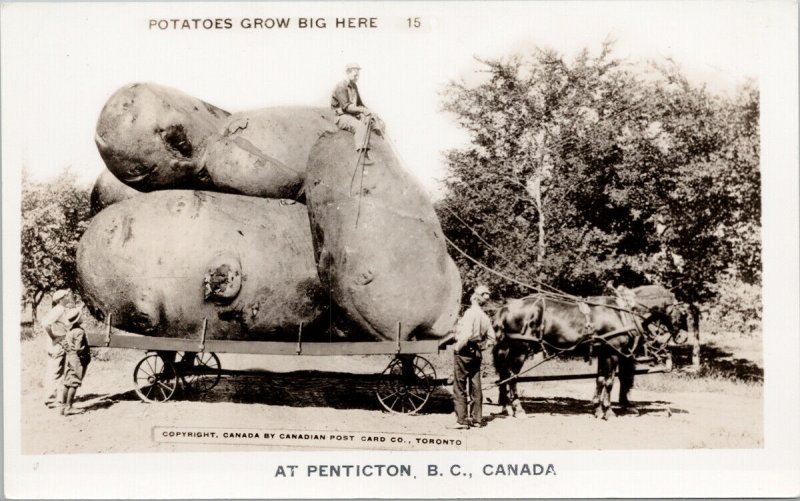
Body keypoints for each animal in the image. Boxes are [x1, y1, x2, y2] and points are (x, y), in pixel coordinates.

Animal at [490, 286, 684, 418]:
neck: (622, 313)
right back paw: (518, 409)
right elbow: (610, 382)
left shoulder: (603, 352)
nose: (682, 337)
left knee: (504, 374)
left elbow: (600, 380)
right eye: (683, 313)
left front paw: (598, 409)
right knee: (512, 377)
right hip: (520, 349)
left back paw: (506, 407)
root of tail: (506, 308)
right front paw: (609, 411)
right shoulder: (613, 352)